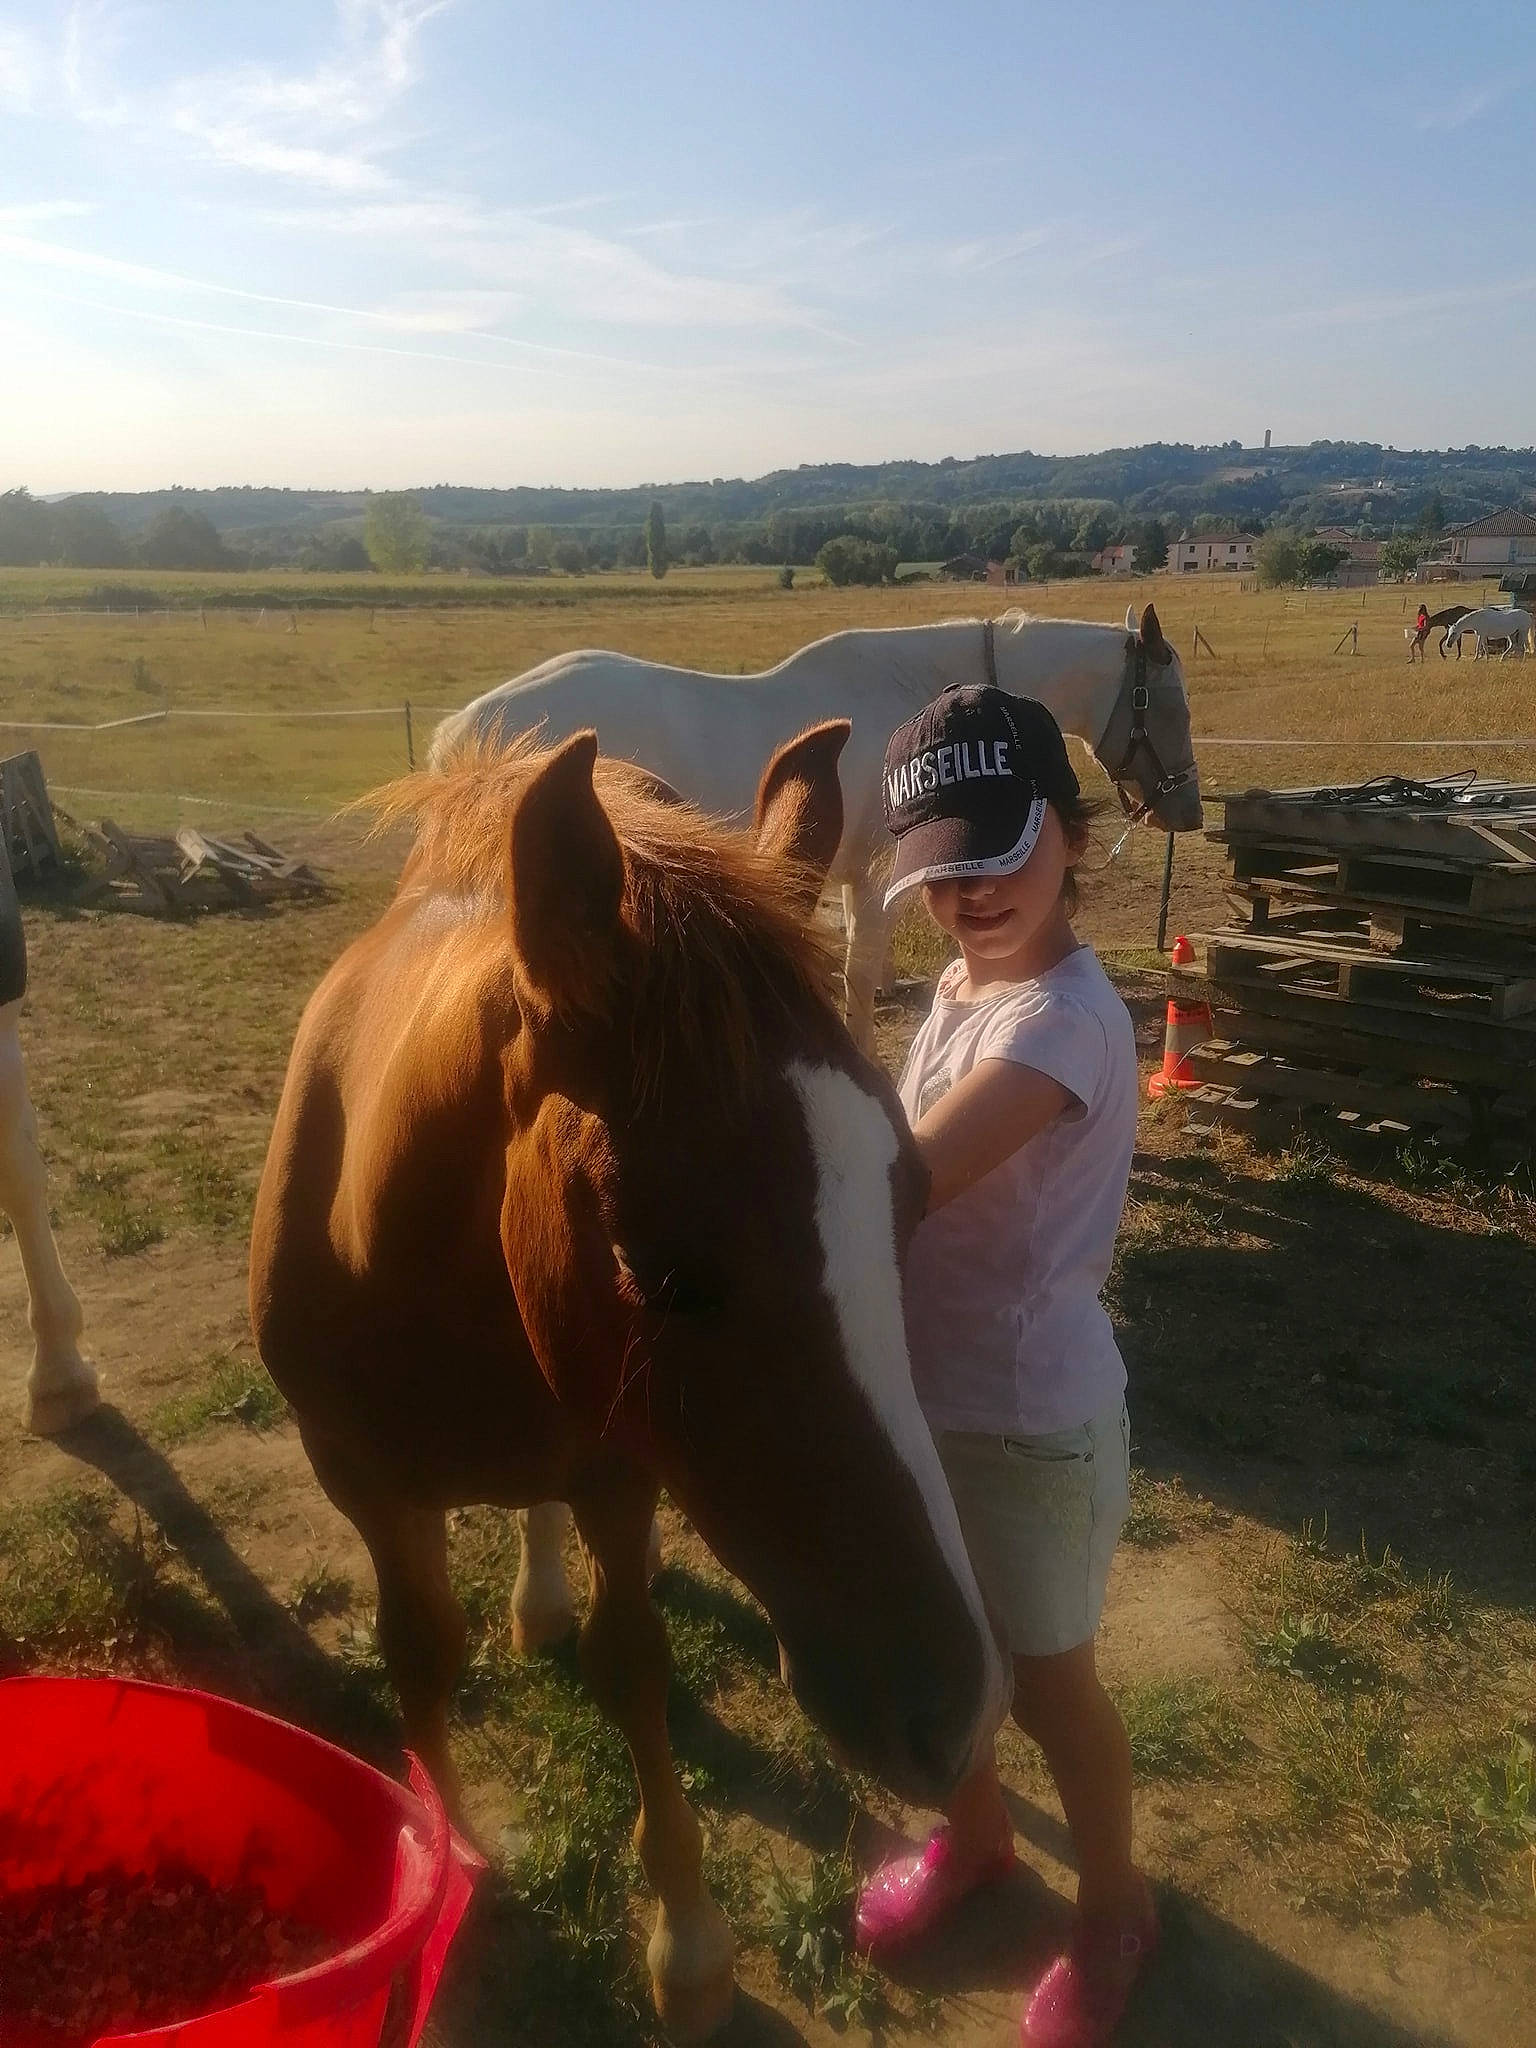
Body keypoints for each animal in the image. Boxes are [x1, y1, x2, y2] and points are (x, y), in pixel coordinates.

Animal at [250, 724, 1010, 2040]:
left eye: (909, 1198)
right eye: (662, 1272)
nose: (949, 1712)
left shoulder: (614, 1466)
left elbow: (634, 1660)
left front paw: (689, 1943)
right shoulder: (358, 1479)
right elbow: (421, 1650)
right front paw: (454, 1858)